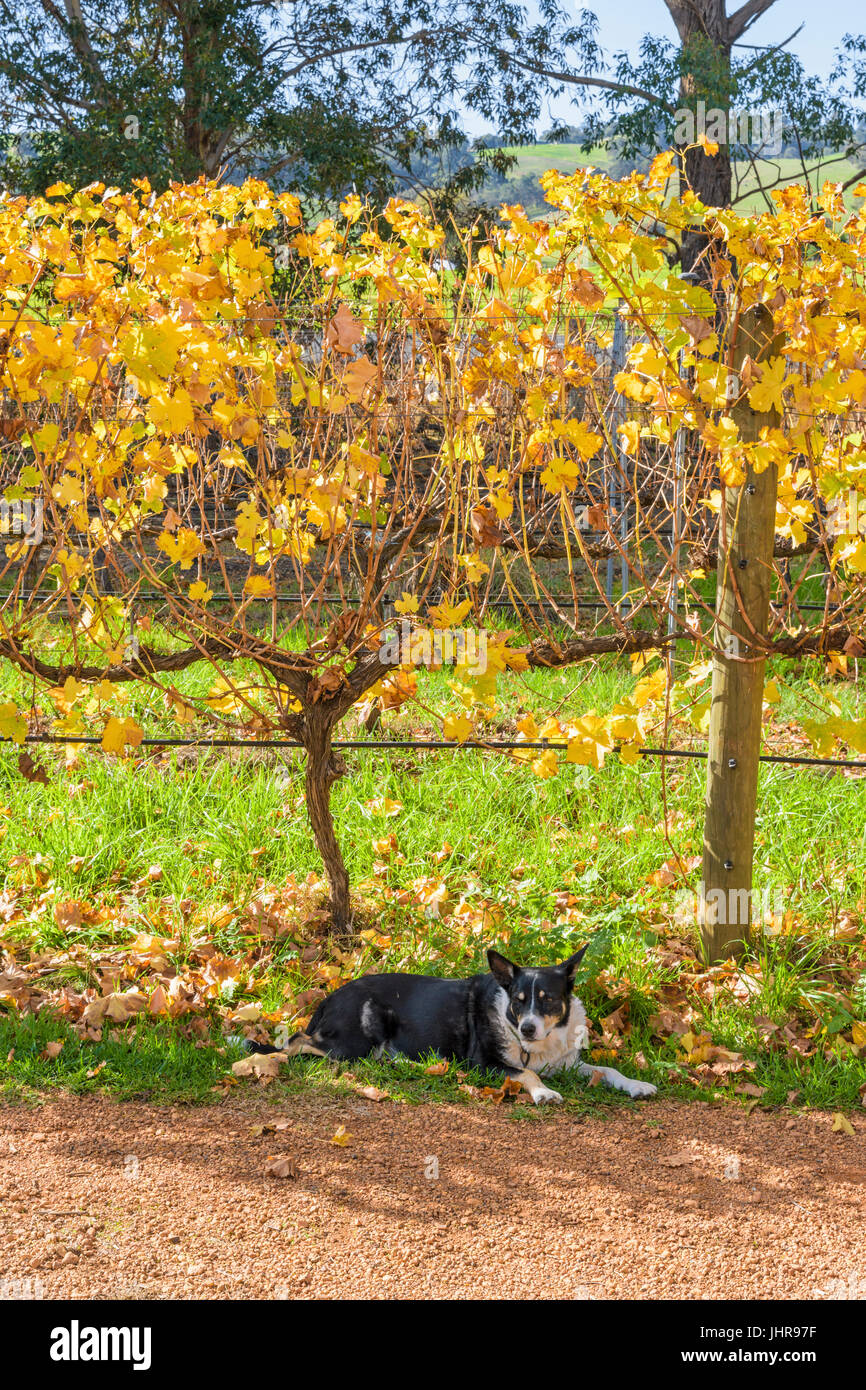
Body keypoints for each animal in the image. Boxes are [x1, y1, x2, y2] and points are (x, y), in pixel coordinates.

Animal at [248, 945, 656, 1106]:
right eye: (517, 1001)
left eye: (548, 999)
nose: (527, 1029)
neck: (537, 1047)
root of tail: (330, 997)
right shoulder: (486, 1064)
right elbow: (527, 1074)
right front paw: (543, 1093)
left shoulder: (568, 1062)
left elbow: (609, 1069)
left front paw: (637, 1085)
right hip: (356, 1038)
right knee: (298, 1041)